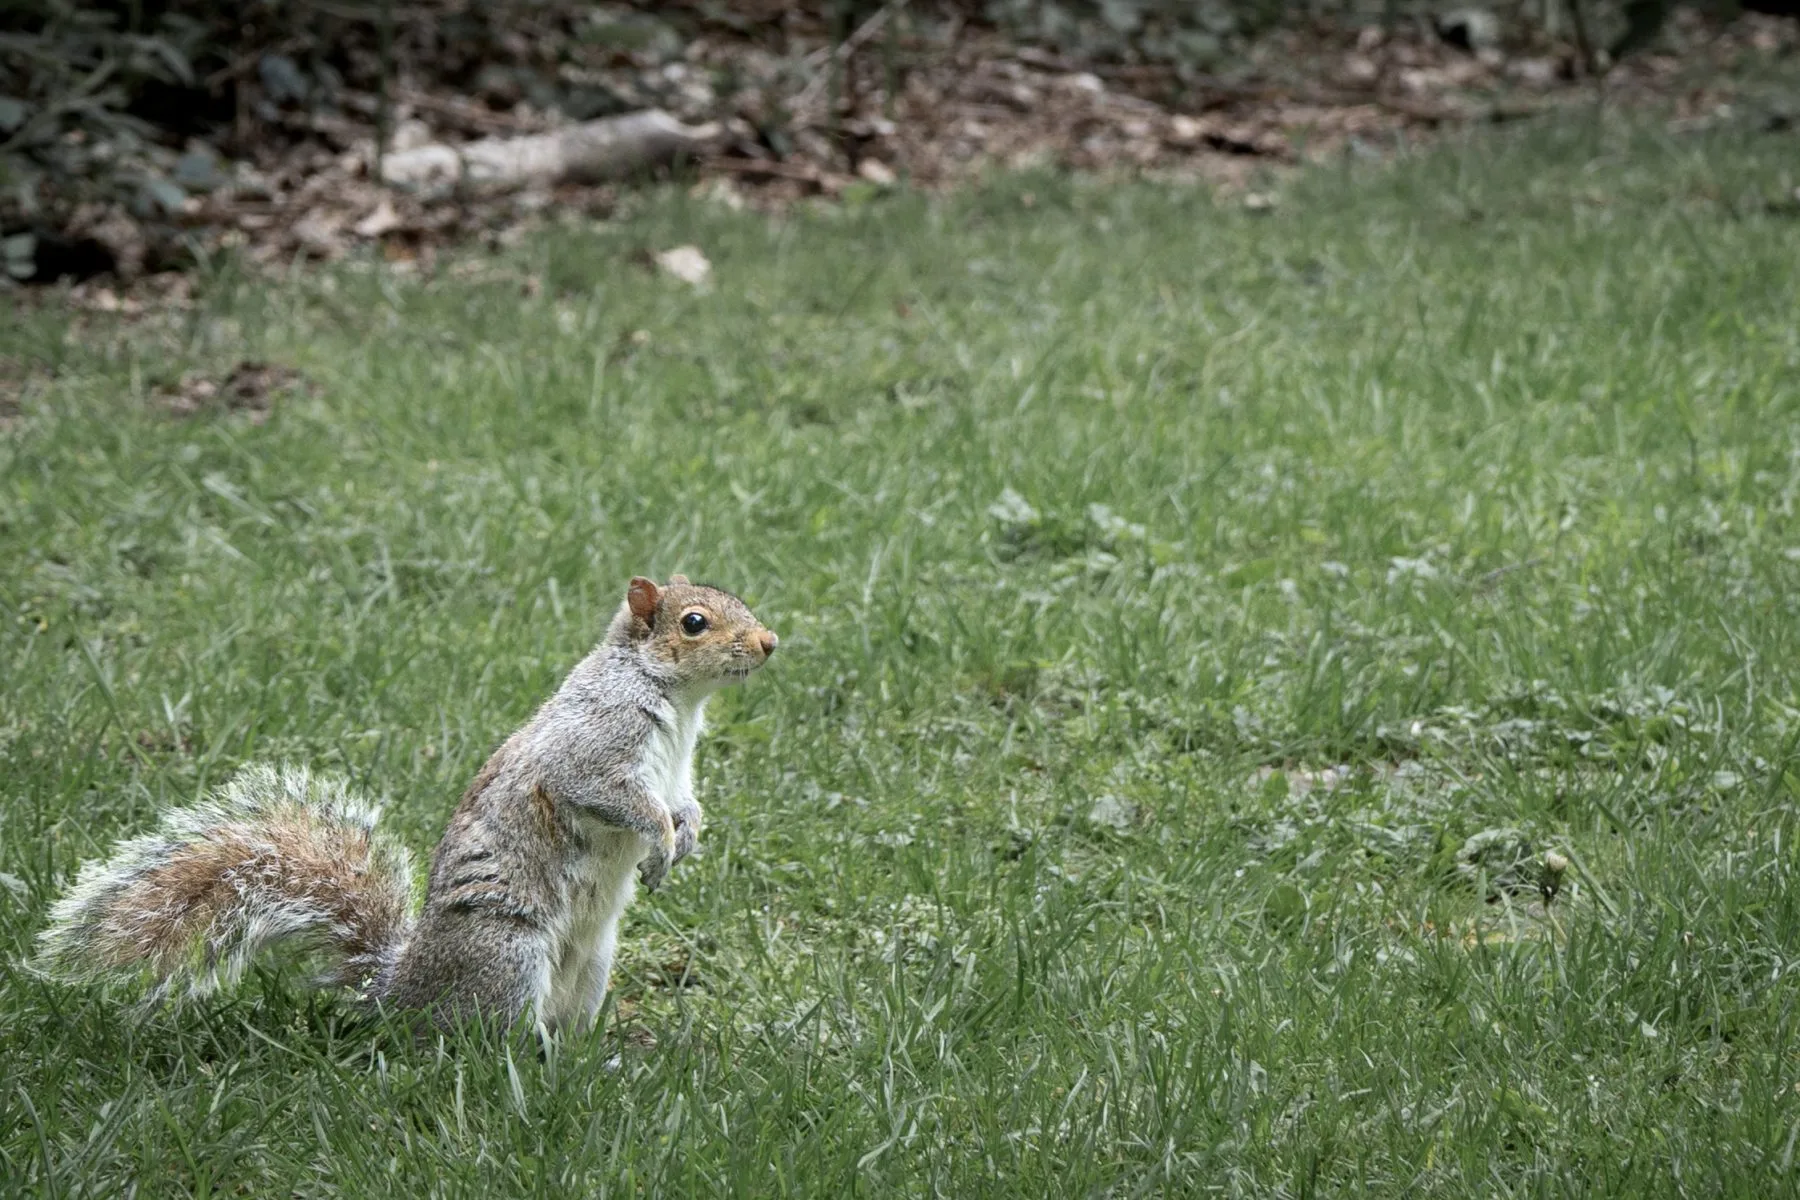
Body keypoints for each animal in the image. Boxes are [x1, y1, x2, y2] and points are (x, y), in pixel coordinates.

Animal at [32, 575, 777, 1034]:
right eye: (695, 623)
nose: (770, 643)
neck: (678, 702)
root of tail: (403, 993)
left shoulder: (678, 771)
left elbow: (685, 803)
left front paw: (685, 838)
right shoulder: (592, 747)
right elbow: (611, 796)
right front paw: (660, 842)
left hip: (592, 966)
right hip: (507, 955)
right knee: (482, 1039)